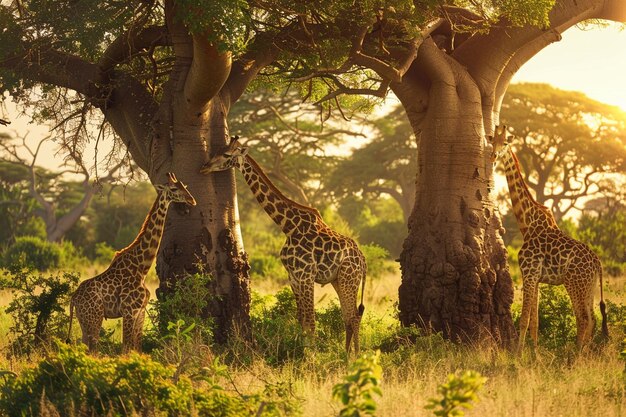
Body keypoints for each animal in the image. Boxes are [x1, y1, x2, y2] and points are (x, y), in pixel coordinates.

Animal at [66, 172, 195, 352]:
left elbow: (137, 348)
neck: (142, 267)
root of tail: (74, 298)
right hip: (94, 318)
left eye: (185, 186)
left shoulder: (141, 310)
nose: (192, 200)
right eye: (174, 189)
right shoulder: (129, 310)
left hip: (84, 320)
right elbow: (126, 348)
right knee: (92, 349)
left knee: (84, 347)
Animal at [200, 138, 366, 352]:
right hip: (338, 280)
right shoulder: (293, 277)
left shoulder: (306, 275)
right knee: (347, 316)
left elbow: (311, 322)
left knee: (353, 317)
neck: (288, 226)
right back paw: (346, 355)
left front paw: (311, 357)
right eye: (219, 149)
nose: (205, 166)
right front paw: (304, 353)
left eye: (227, 154)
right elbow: (301, 321)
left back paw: (356, 357)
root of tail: (363, 261)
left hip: (348, 278)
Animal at [490, 126, 608, 348]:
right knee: (593, 318)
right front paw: (534, 353)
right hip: (589, 287)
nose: (493, 155)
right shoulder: (536, 277)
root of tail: (598, 263)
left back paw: (576, 354)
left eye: (506, 143)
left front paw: (518, 355)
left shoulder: (528, 272)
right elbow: (534, 322)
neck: (526, 223)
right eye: (493, 141)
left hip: (574, 283)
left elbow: (524, 319)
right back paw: (586, 353)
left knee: (583, 318)